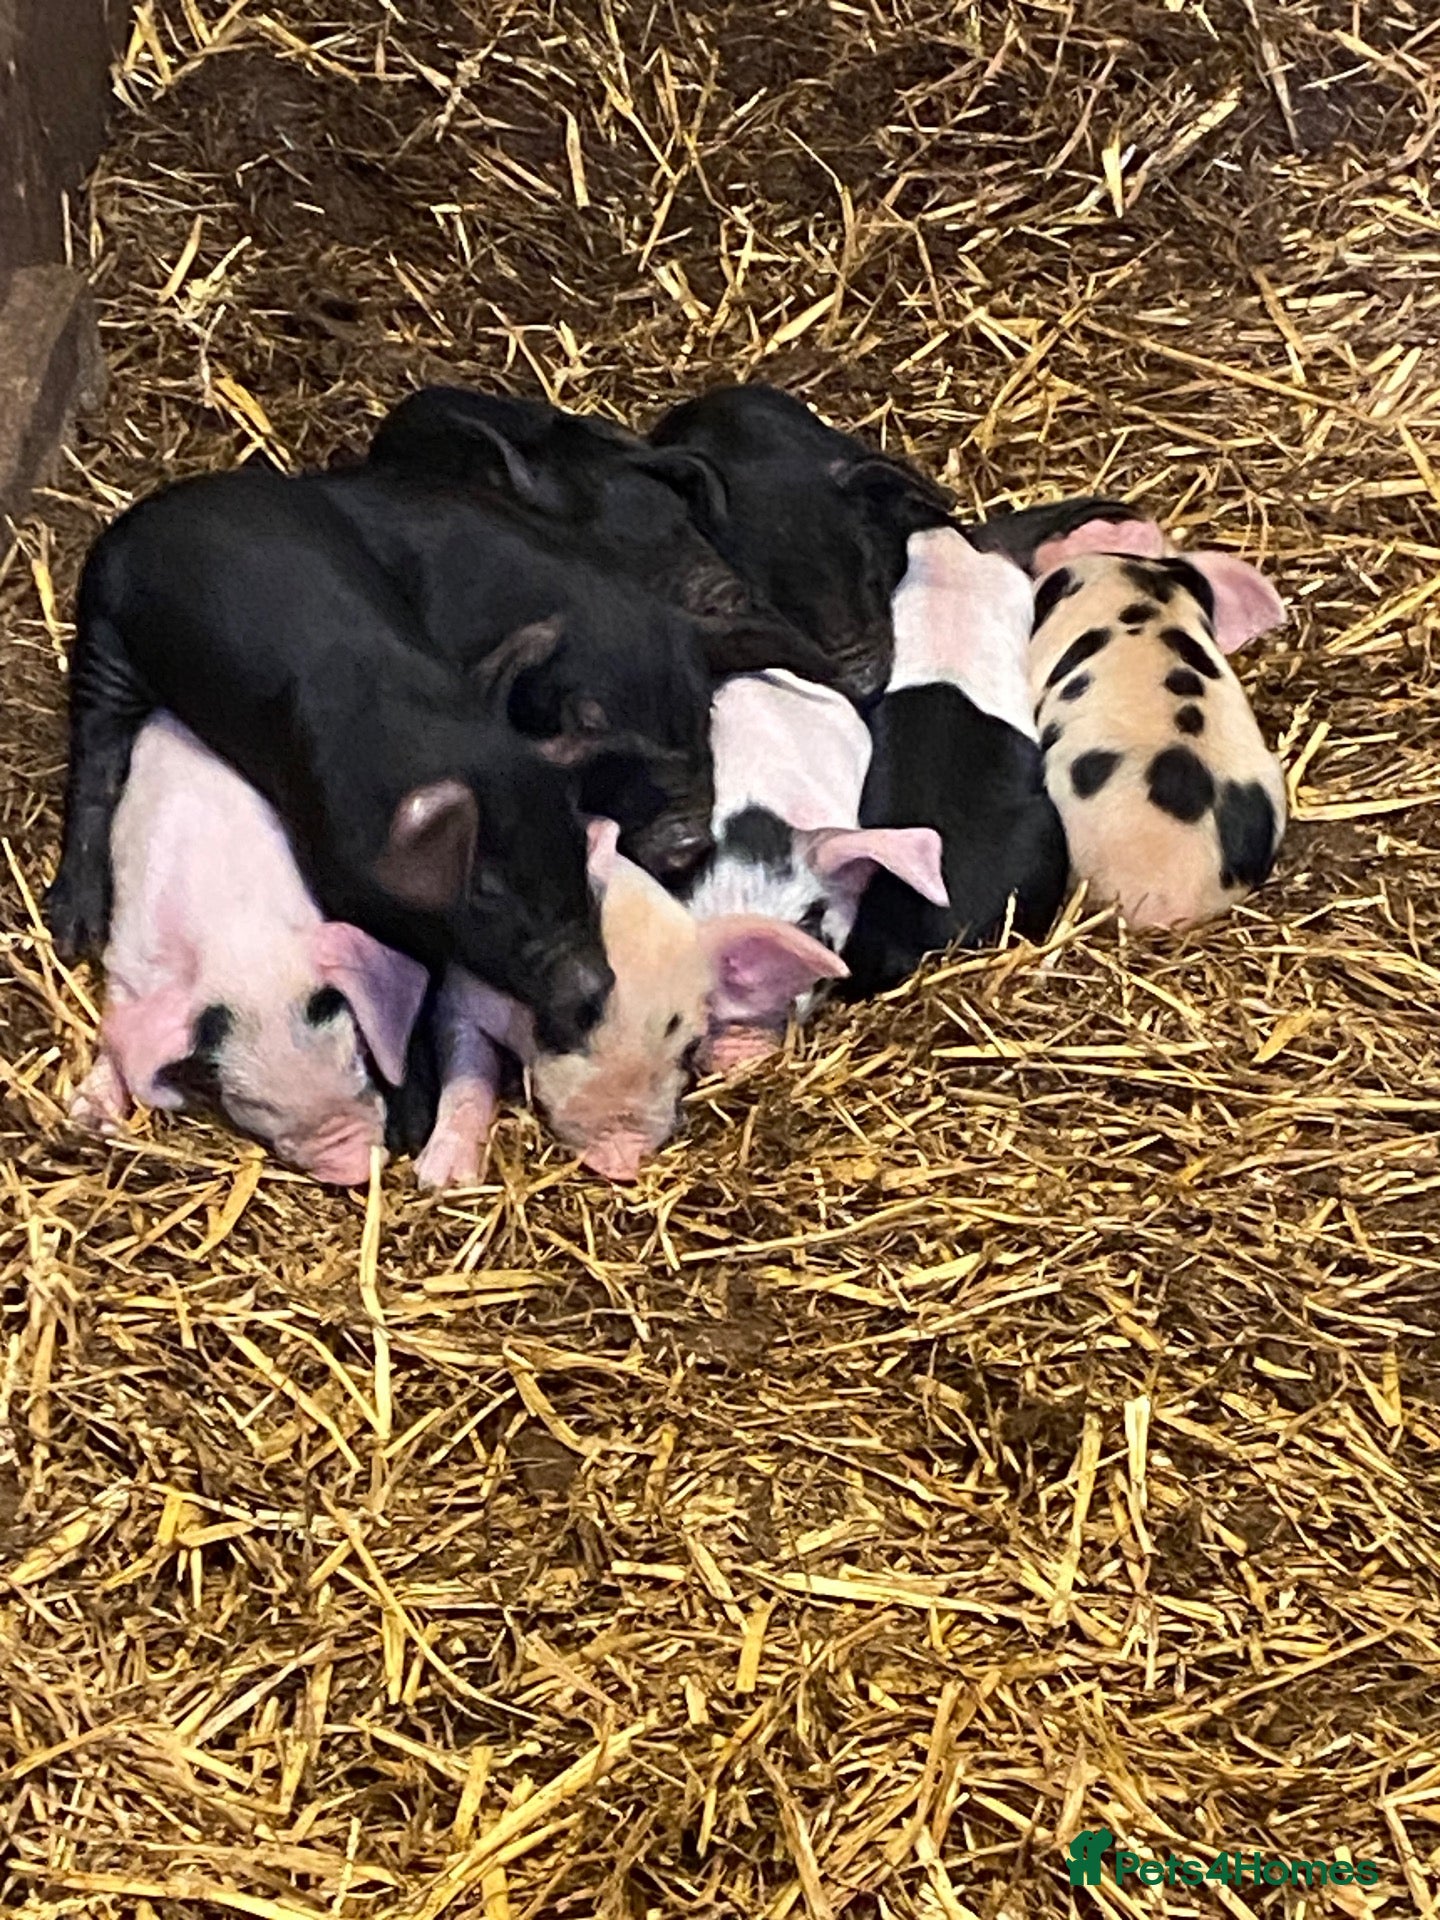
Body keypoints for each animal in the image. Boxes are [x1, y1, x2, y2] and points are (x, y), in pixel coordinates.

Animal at [46, 464, 612, 1057]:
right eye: (487, 889)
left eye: (576, 844)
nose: (595, 984)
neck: (435, 737)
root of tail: (154, 506)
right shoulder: (335, 874)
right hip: (104, 635)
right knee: (96, 758)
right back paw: (74, 931)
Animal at [71, 715, 429, 1186]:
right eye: (252, 1104)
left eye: (358, 1056)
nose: (352, 1166)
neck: (237, 933)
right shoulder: (129, 956)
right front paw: (86, 1118)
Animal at [414, 820, 841, 1184]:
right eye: (574, 1017)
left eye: (690, 1047)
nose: (625, 1158)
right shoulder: (461, 994)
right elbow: (467, 1071)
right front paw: (442, 1182)